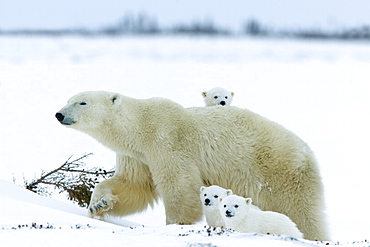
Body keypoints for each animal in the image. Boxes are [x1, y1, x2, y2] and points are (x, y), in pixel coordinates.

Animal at [55, 91, 330, 241]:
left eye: (82, 102)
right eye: (68, 99)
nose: (59, 114)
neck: (141, 126)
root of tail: (308, 152)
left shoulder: (167, 140)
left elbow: (180, 186)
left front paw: (176, 225)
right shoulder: (137, 155)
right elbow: (134, 186)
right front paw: (98, 204)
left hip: (280, 173)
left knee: (302, 212)